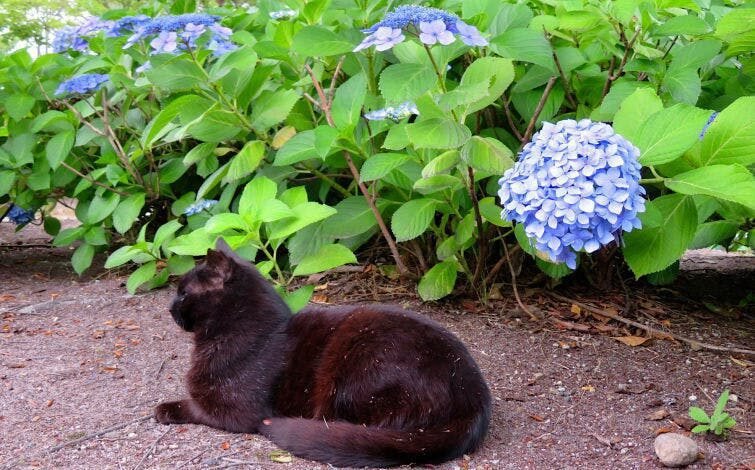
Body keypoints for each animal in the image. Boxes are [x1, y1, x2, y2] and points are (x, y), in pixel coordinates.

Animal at [157, 241, 494, 468]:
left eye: (183, 294)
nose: (169, 308)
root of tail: (474, 397)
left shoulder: (236, 412)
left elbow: (195, 407)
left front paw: (164, 409)